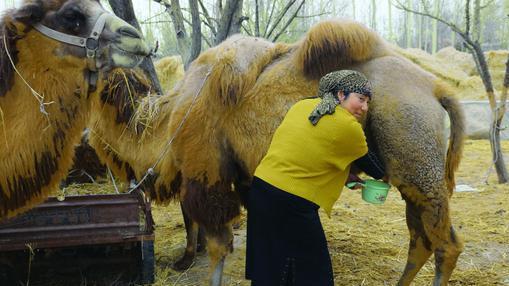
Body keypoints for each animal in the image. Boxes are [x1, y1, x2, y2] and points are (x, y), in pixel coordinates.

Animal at [90, 19, 464, 284]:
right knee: (420, 240)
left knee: (446, 245)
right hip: (412, 182)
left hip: (419, 171)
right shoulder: (243, 178)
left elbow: (217, 247)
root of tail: (436, 87)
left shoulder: (206, 172)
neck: (169, 120)